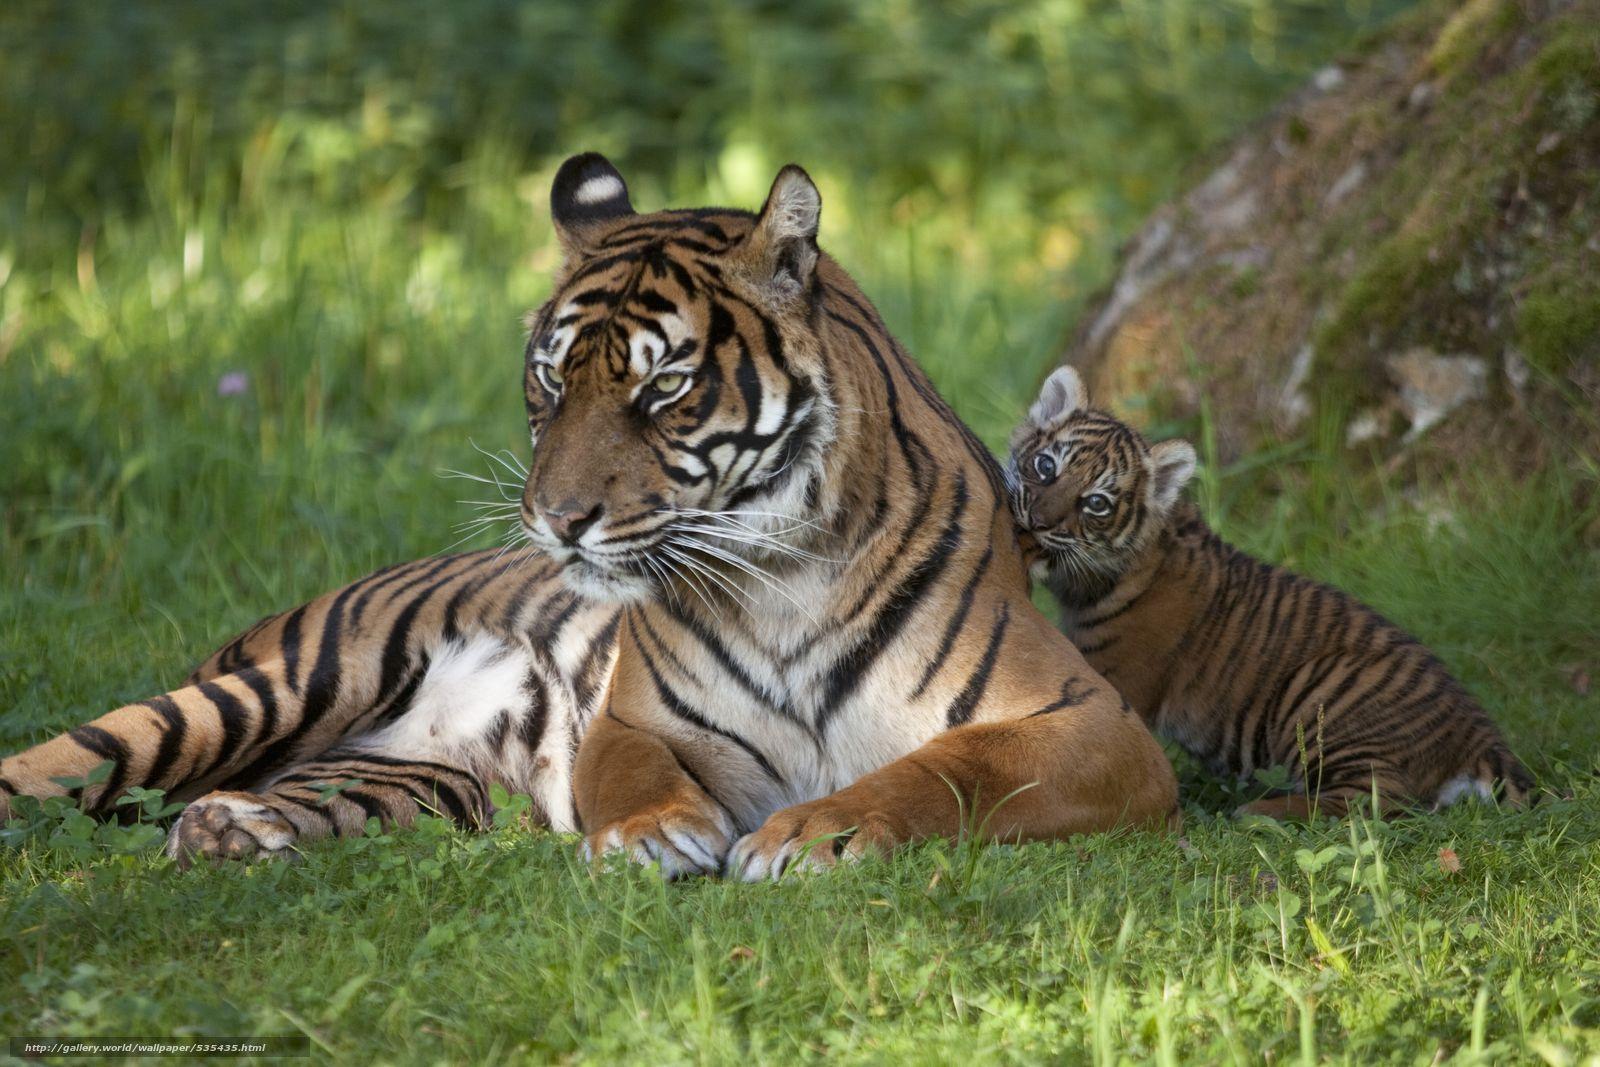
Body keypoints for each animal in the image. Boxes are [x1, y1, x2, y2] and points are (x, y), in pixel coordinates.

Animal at [0, 158, 1177, 876]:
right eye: (550, 379)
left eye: (664, 388)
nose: (557, 521)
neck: (786, 573)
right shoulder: (640, 720)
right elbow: (635, 771)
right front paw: (655, 835)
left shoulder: (1094, 723)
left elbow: (947, 766)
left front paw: (815, 833)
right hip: (266, 689)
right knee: (51, 770)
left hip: (407, 781)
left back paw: (229, 831)